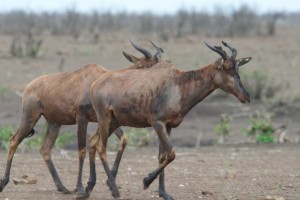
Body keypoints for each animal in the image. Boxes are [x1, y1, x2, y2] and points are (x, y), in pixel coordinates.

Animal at [0, 40, 164, 195]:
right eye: (145, 66)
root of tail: (29, 86)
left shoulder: (105, 119)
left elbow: (122, 140)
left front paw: (108, 181)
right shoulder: (81, 118)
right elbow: (82, 150)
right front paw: (80, 187)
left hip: (54, 123)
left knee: (45, 149)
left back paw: (62, 187)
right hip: (30, 117)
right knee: (14, 140)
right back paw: (4, 182)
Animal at [84, 41, 251, 199]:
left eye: (238, 68)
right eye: (227, 67)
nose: (246, 96)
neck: (178, 84)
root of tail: (95, 84)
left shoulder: (168, 126)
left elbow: (162, 156)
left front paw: (164, 193)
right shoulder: (158, 124)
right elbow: (171, 154)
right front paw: (146, 181)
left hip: (114, 122)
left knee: (92, 142)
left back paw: (87, 189)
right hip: (104, 118)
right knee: (101, 146)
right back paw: (114, 190)